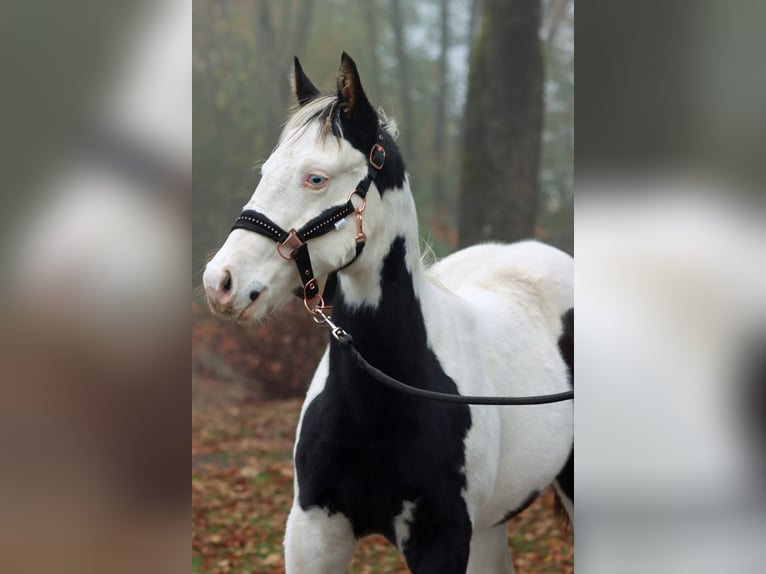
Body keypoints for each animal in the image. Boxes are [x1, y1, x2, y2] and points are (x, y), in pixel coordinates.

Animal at [204, 51, 576, 572]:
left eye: (316, 178)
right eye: (266, 171)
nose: (221, 282)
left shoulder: (441, 538)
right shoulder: (313, 532)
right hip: (489, 524)